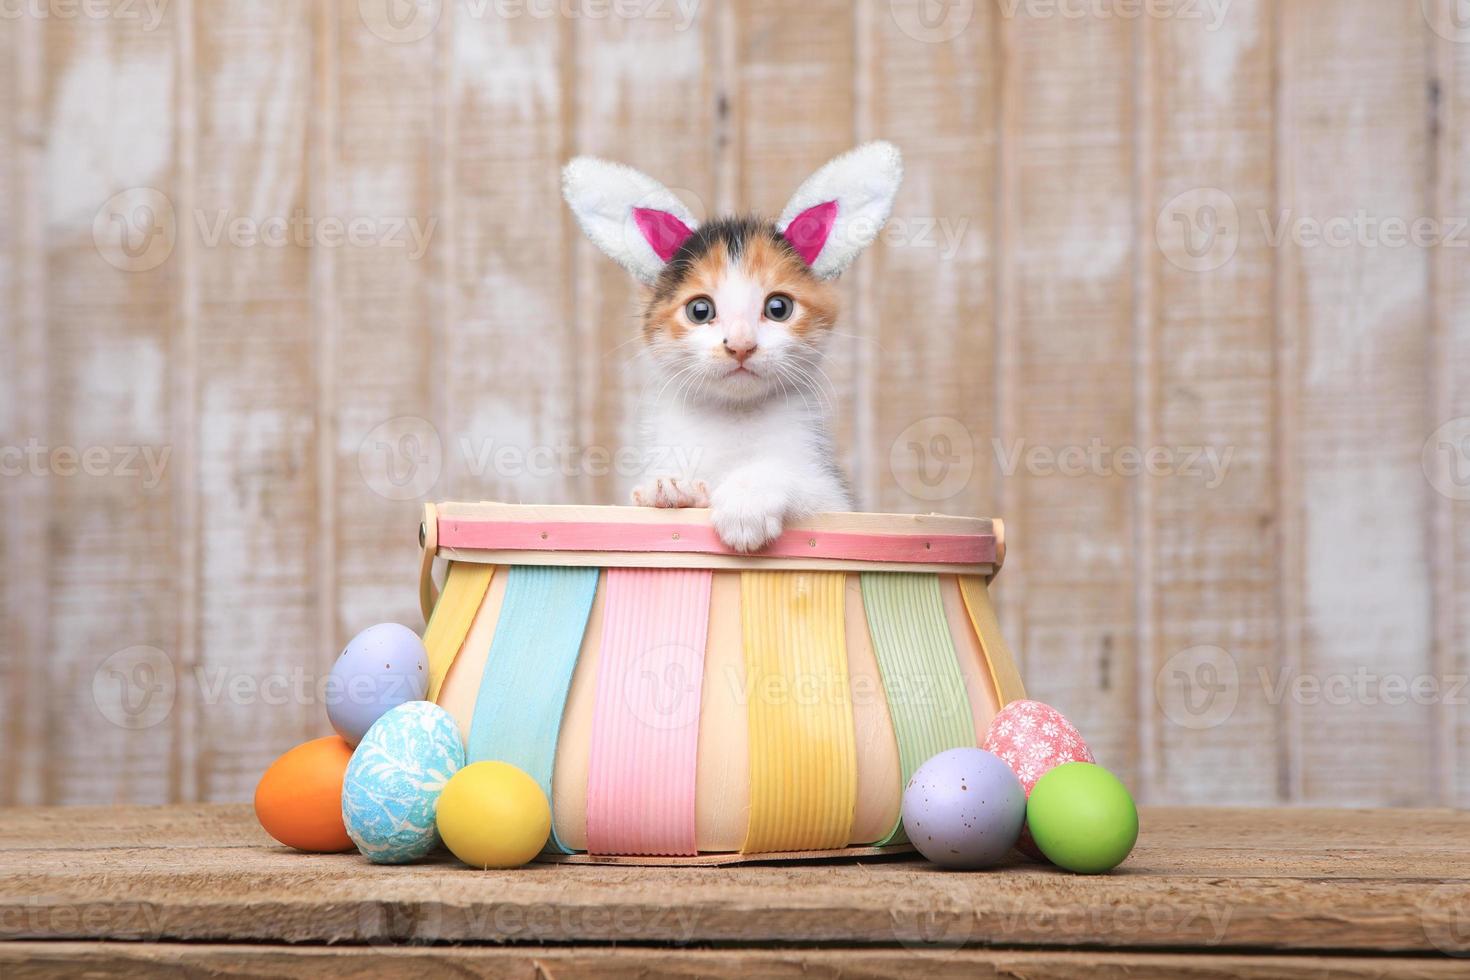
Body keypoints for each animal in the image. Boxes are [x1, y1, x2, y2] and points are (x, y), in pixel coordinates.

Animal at [561, 141, 905, 552]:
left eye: (778, 308)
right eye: (700, 310)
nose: (741, 346)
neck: (733, 416)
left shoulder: (834, 497)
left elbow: (793, 476)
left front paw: (746, 502)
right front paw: (670, 489)